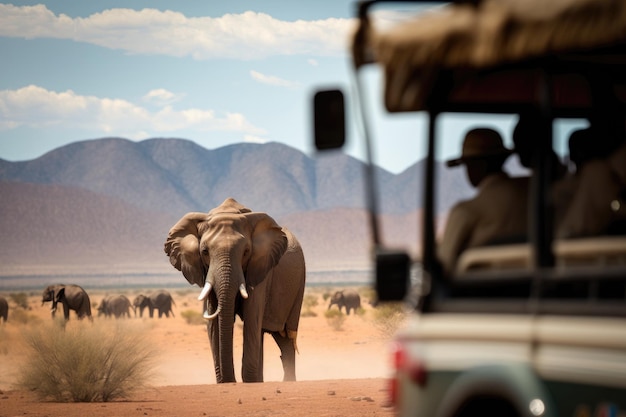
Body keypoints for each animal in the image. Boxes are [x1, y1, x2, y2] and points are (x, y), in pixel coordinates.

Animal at [163, 197, 304, 382]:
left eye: (246, 252)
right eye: (204, 251)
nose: (231, 380)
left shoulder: (261, 267)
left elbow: (252, 316)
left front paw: (247, 381)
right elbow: (214, 323)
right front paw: (225, 382)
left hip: (299, 286)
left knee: (286, 336)